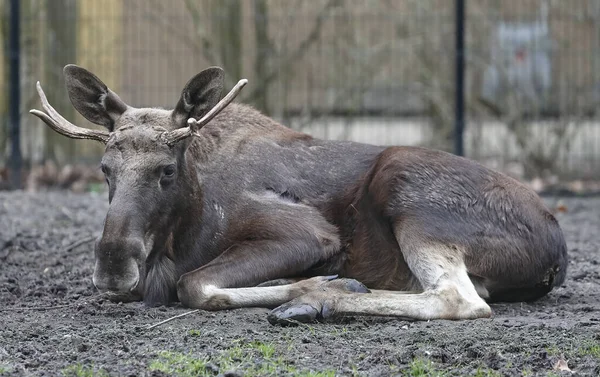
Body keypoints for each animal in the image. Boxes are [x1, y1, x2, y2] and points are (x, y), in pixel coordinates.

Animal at [31, 65, 568, 324]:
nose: (112, 265)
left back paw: (317, 298)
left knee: (460, 299)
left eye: (165, 170)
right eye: (105, 170)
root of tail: (558, 249)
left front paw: (311, 286)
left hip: (406, 187)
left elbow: (194, 285)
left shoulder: (309, 234)